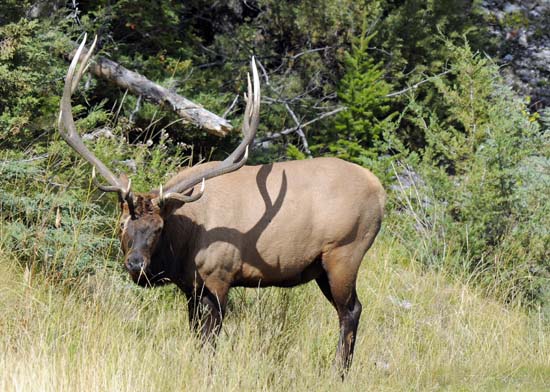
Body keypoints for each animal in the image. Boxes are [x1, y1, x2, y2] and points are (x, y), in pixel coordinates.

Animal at [59, 35, 388, 372]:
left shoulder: (219, 278)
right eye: (123, 223)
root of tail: (380, 192)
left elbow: (209, 344)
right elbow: (196, 337)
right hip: (322, 267)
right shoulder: (190, 287)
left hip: (345, 253)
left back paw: (339, 371)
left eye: (159, 228)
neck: (185, 243)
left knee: (351, 310)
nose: (136, 264)